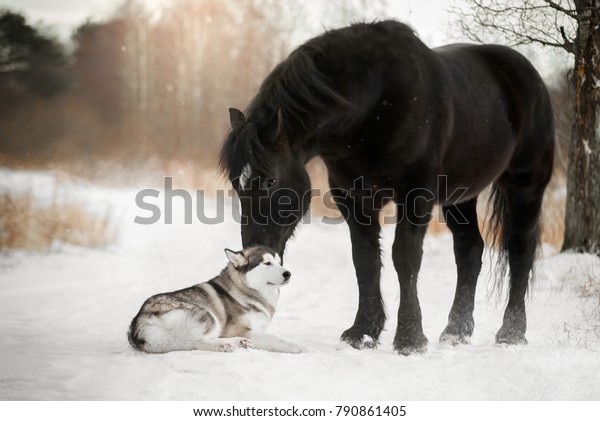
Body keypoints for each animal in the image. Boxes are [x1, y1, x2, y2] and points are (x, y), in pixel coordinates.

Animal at [127, 244, 304, 352]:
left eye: (279, 262)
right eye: (267, 263)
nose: (288, 273)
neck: (246, 290)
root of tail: (138, 323)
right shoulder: (240, 329)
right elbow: (274, 338)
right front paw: (296, 347)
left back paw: (237, 343)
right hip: (209, 317)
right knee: (198, 342)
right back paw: (226, 345)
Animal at [220, 20, 552, 354]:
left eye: (271, 181)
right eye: (237, 184)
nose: (252, 252)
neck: (373, 107)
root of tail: (531, 75)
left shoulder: (416, 195)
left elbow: (404, 257)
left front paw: (410, 338)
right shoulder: (354, 198)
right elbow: (365, 260)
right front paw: (363, 332)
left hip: (525, 185)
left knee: (519, 250)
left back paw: (511, 333)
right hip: (460, 196)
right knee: (469, 250)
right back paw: (456, 331)